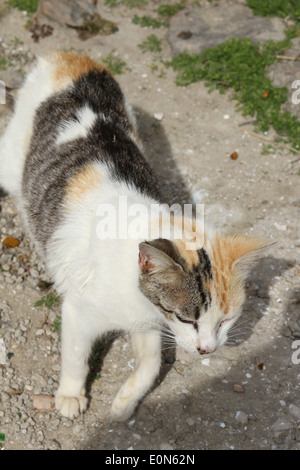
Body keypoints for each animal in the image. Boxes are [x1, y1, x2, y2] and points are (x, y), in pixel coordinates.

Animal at [0, 52, 270, 422]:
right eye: (187, 318)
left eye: (226, 319)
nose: (207, 350)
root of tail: (70, 57)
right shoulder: (78, 311)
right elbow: (75, 357)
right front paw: (70, 395)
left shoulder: (148, 324)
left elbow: (151, 365)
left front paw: (124, 403)